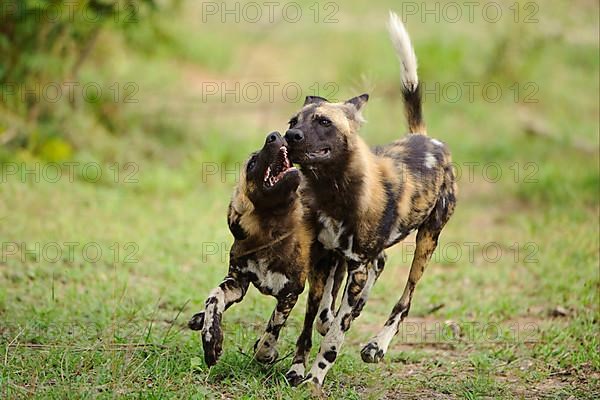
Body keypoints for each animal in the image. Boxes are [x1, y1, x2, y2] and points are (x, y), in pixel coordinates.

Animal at [188, 132, 312, 368]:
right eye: (253, 163)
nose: (275, 134)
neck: (268, 233)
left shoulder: (290, 292)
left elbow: (272, 329)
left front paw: (265, 354)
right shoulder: (237, 283)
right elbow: (213, 298)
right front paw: (211, 338)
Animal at [284, 11, 458, 388]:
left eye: (323, 122)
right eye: (293, 120)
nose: (289, 135)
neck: (333, 192)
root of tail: (424, 138)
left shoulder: (353, 264)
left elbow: (334, 336)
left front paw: (316, 376)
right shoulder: (325, 259)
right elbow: (314, 320)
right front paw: (297, 369)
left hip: (428, 240)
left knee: (405, 299)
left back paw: (376, 345)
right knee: (376, 270)